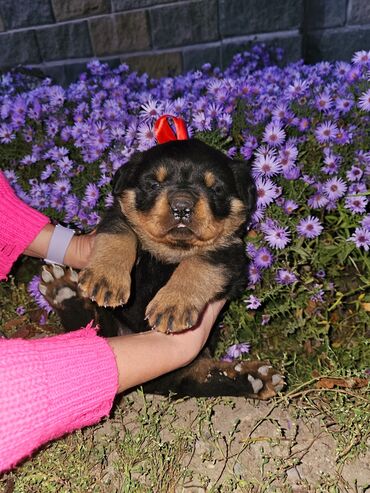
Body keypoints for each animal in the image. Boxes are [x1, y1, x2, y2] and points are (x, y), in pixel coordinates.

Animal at [40, 137, 284, 396]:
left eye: (215, 188)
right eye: (154, 183)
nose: (182, 206)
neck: (172, 251)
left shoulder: (230, 253)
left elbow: (198, 263)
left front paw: (172, 305)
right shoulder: (117, 216)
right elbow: (120, 234)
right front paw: (106, 278)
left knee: (193, 376)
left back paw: (255, 377)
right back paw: (63, 291)